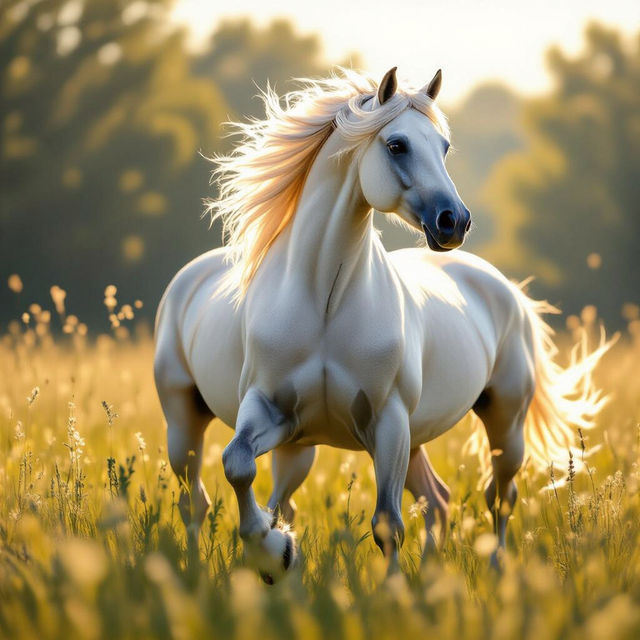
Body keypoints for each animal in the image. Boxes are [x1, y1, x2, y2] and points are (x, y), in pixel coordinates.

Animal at [154, 68, 610, 583]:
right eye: (396, 145)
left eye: (444, 147)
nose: (454, 222)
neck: (325, 303)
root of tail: (507, 291)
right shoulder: (270, 409)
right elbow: (237, 465)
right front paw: (276, 553)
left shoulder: (388, 422)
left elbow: (388, 523)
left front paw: (383, 590)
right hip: (192, 423)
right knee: (203, 502)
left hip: (500, 421)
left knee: (496, 497)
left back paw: (492, 573)